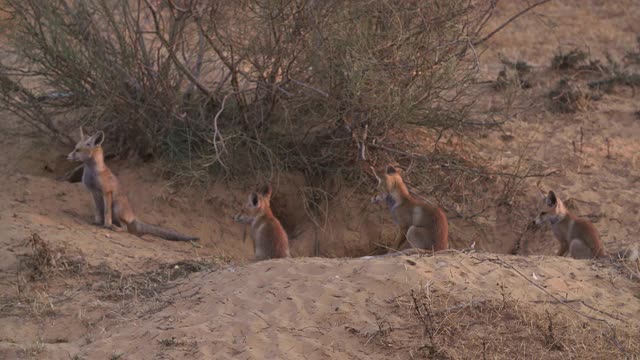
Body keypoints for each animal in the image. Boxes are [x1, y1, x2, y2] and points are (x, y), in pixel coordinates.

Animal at [66, 129, 199, 242]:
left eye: (77, 150)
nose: (67, 156)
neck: (93, 173)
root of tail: (133, 216)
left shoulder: (106, 192)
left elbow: (106, 213)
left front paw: (106, 225)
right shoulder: (93, 192)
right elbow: (98, 211)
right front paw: (97, 223)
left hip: (117, 207)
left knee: (125, 228)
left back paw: (115, 228)